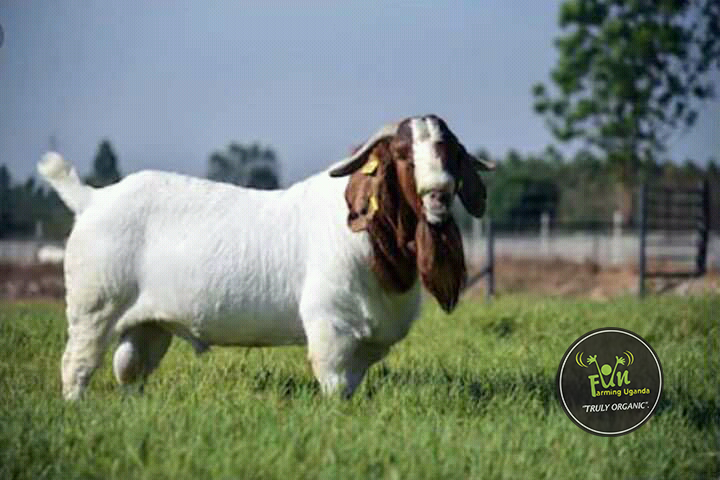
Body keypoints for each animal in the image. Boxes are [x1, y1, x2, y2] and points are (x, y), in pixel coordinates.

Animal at [38, 115, 493, 400]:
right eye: (402, 154)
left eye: (451, 153)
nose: (438, 193)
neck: (372, 236)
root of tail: (93, 199)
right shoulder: (330, 326)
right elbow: (334, 386)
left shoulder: (367, 339)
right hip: (94, 307)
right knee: (76, 363)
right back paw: (75, 405)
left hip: (147, 325)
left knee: (130, 367)